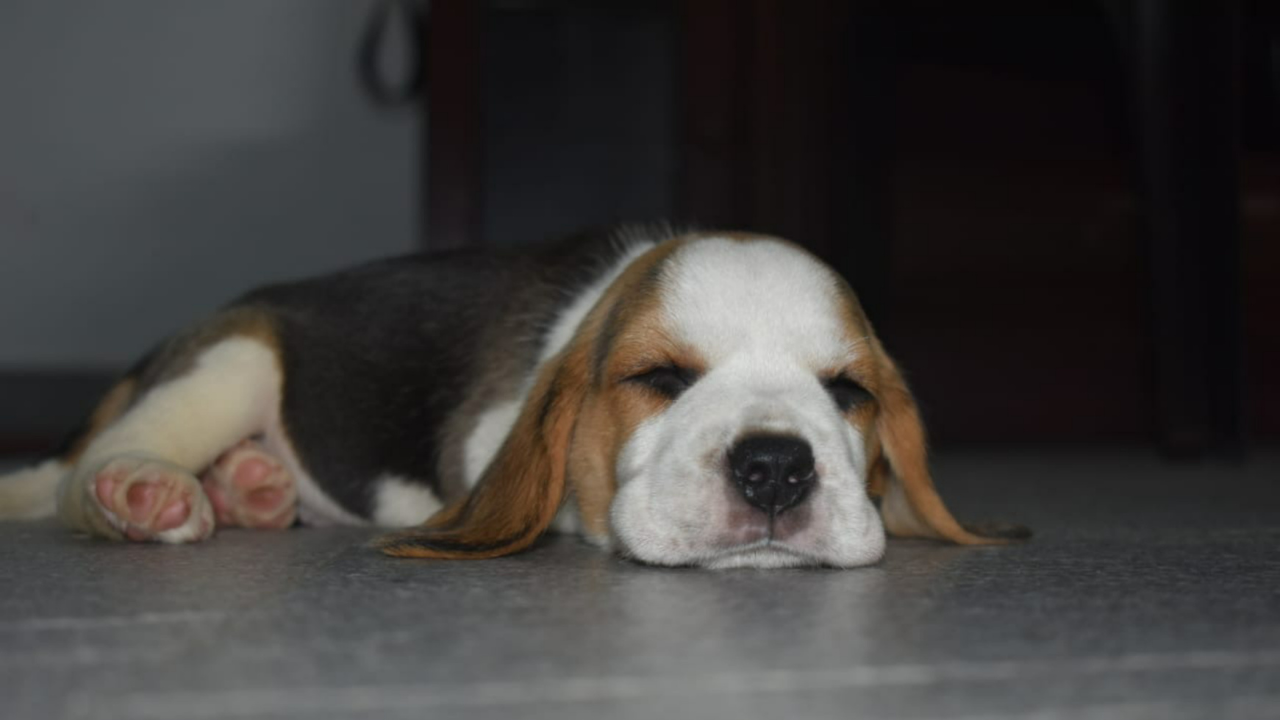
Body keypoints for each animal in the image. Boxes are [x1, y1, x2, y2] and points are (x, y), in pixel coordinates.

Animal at [0, 225, 1018, 566]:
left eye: (847, 391)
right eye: (659, 379)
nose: (776, 469)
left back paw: (252, 489)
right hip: (235, 361)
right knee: (83, 475)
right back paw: (145, 490)